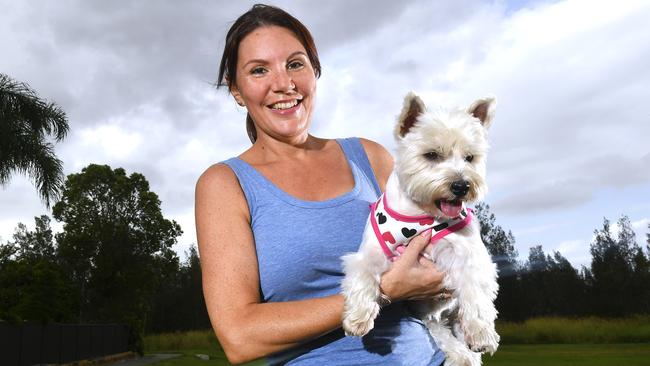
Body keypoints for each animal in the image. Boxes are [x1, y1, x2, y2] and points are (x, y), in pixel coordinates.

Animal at [342, 92, 498, 366]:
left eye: (470, 157)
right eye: (431, 154)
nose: (461, 186)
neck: (420, 213)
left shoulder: (470, 254)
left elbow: (475, 291)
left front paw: (481, 333)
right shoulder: (372, 251)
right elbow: (363, 274)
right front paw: (357, 317)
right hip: (428, 315)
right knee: (437, 328)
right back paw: (458, 354)